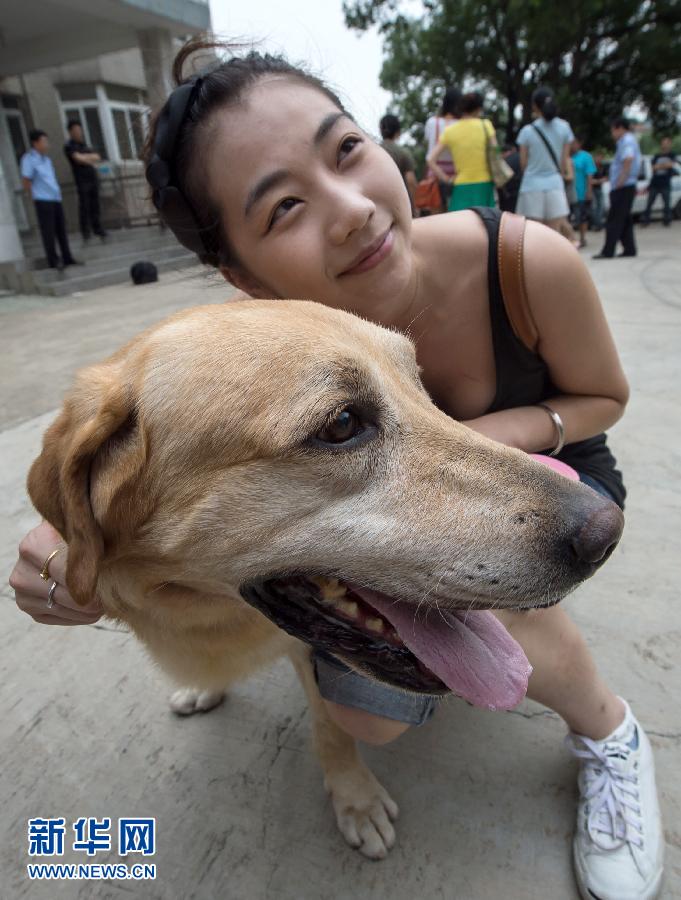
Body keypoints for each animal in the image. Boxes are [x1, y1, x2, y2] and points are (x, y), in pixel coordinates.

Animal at [26, 300, 620, 856]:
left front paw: (354, 800)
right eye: (341, 424)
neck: (207, 613)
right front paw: (204, 686)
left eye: (420, 386)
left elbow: (331, 728)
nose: (608, 533)